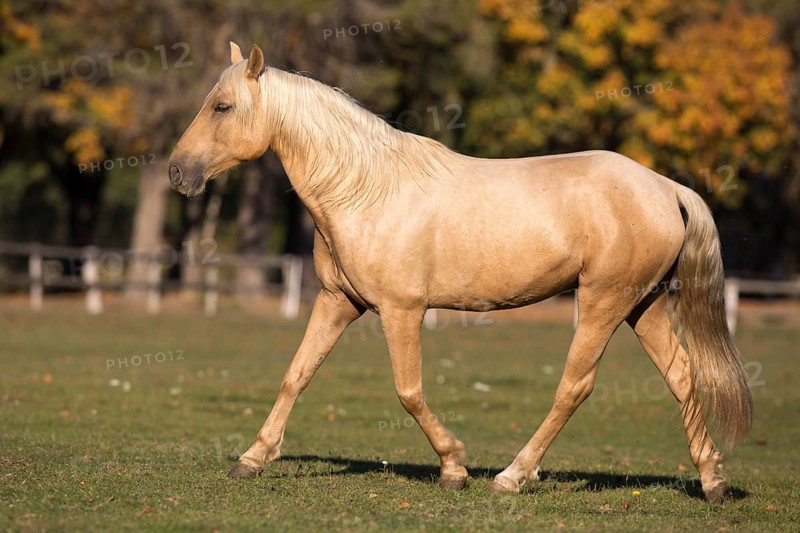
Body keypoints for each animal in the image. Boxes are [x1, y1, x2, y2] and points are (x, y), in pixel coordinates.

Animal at [168, 42, 752, 502]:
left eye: (222, 106)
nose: (177, 172)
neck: (365, 191)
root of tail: (666, 187)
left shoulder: (401, 310)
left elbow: (408, 392)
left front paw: (454, 467)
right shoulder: (337, 302)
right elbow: (297, 374)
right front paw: (253, 457)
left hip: (603, 304)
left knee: (575, 386)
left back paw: (513, 476)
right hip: (642, 306)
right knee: (681, 375)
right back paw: (712, 481)